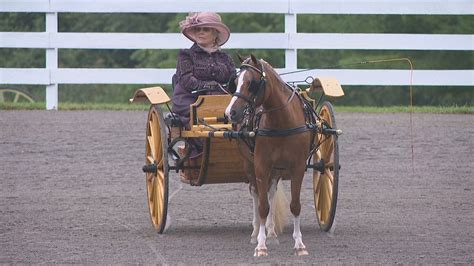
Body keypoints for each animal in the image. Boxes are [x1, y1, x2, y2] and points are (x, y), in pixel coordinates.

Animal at [224, 55, 312, 256]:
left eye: (252, 83)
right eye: (235, 82)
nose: (230, 112)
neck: (282, 122)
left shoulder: (297, 167)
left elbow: (295, 205)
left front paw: (299, 245)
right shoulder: (261, 166)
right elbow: (263, 206)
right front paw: (261, 245)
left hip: (277, 169)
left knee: (271, 192)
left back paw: (271, 233)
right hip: (250, 164)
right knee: (256, 194)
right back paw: (257, 232)